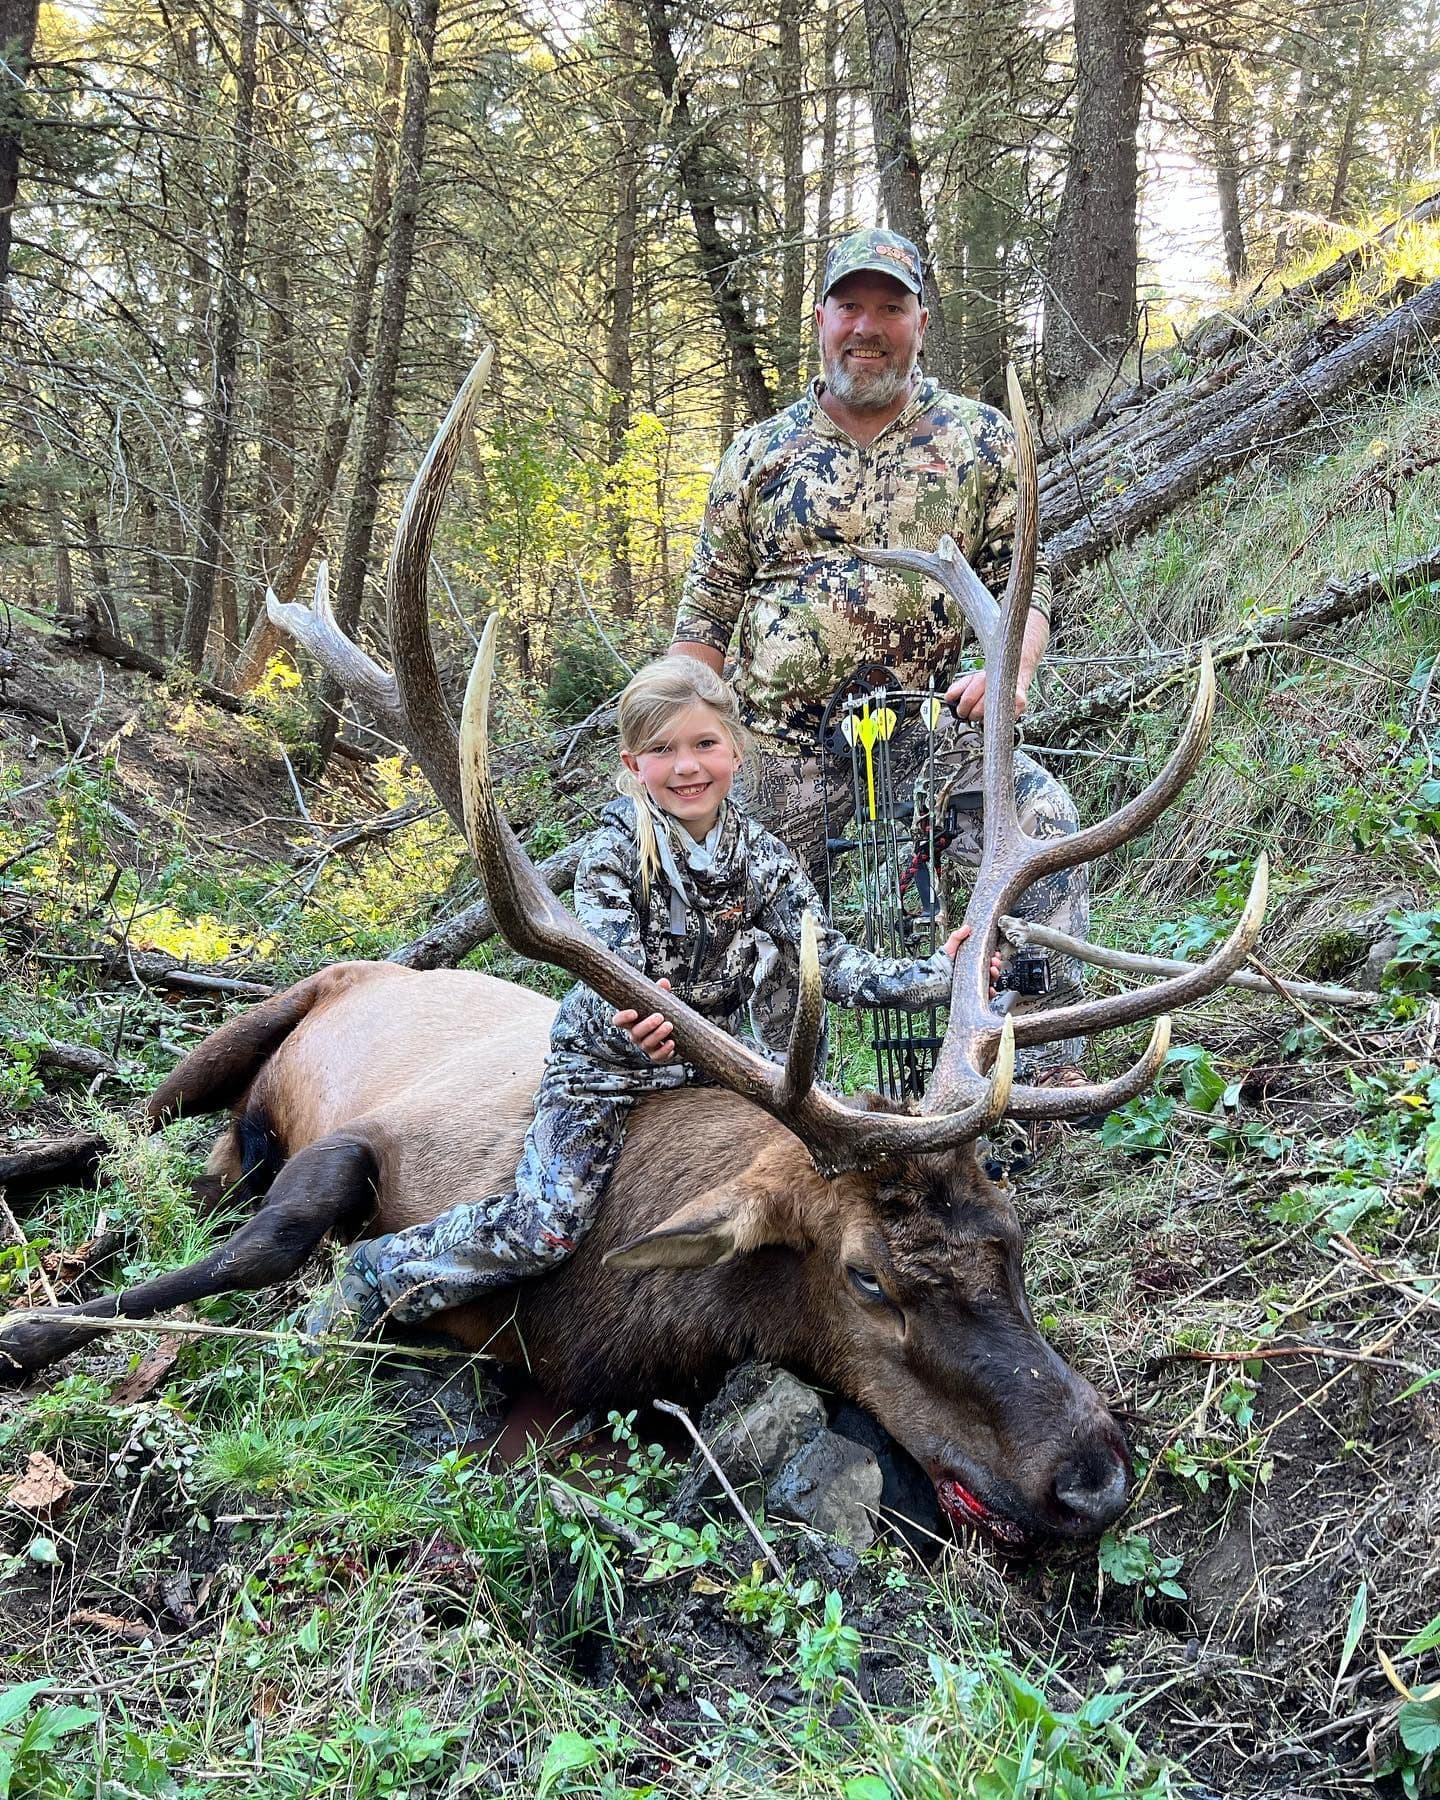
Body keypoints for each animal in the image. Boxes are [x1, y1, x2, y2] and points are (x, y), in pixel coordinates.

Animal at [0, 359, 1267, 1550]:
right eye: (867, 1275)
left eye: (1011, 1237)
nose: (1093, 1474)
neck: (602, 1312)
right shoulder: (376, 1146)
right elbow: (273, 1245)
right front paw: (33, 1333)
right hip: (264, 1015)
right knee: (115, 1133)